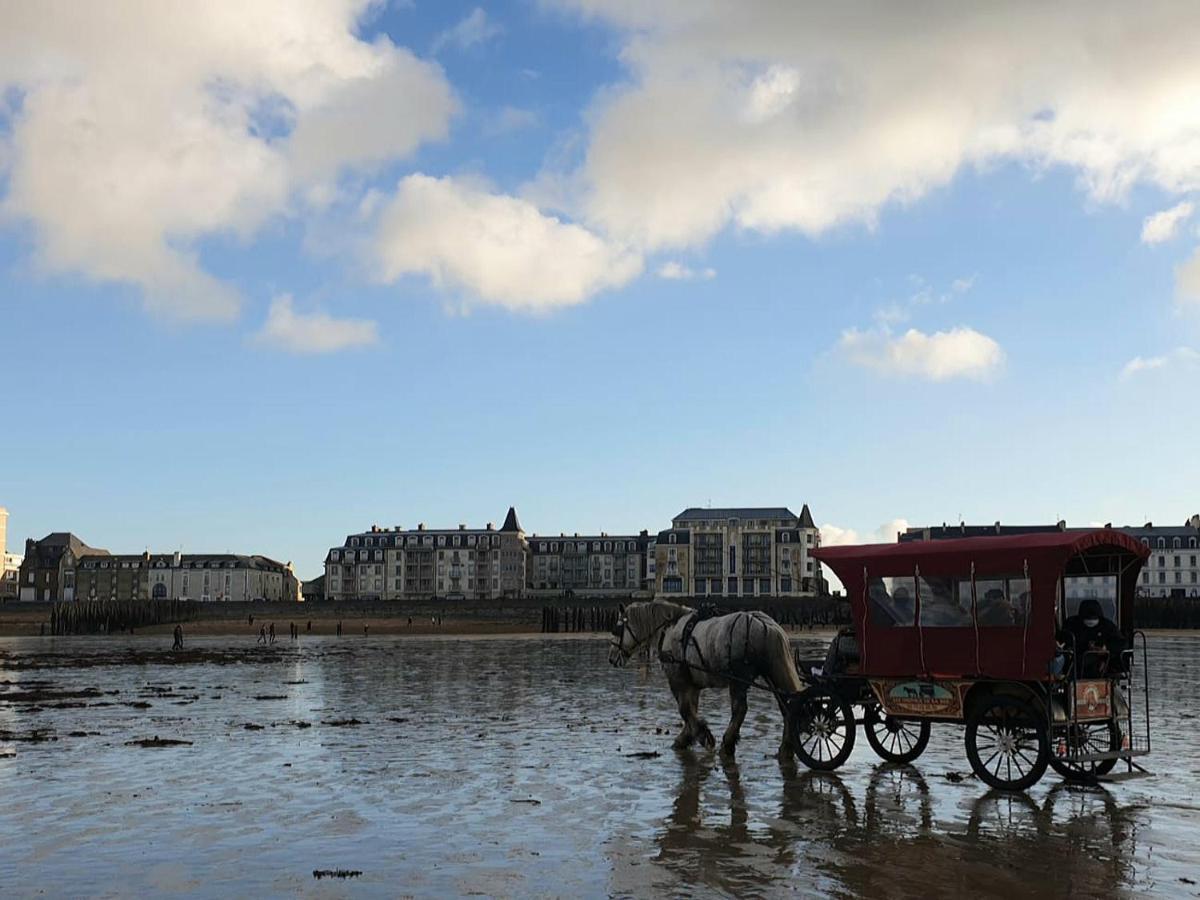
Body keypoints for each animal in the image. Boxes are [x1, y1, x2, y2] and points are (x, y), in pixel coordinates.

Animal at [609, 602, 806, 758]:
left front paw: (703, 736)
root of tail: (766, 624)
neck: (669, 629)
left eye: (617, 629)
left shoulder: (678, 680)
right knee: (788, 708)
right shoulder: (692, 684)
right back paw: (786, 748)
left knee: (740, 710)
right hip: (773, 675)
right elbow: (690, 710)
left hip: (739, 680)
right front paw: (686, 737)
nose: (611, 658)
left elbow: (685, 710)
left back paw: (727, 744)